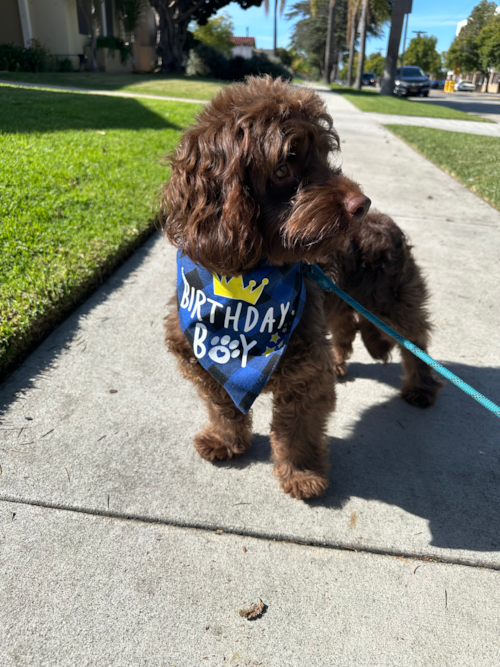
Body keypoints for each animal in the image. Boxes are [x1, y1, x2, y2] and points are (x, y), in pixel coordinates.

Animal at [161, 75, 442, 498]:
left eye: (325, 155)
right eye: (282, 167)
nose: (361, 204)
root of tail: (387, 221)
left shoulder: (306, 372)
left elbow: (296, 430)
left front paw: (302, 474)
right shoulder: (200, 359)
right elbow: (223, 408)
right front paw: (226, 441)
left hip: (394, 302)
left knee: (415, 342)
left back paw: (421, 386)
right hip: (341, 301)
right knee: (344, 330)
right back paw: (341, 362)